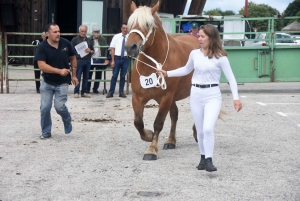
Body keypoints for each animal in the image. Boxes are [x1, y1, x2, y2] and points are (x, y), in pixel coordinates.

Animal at [125, 0, 199, 160]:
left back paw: (197, 133)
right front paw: (148, 135)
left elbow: (158, 122)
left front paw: (152, 149)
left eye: (147, 24)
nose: (130, 47)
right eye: (130, 24)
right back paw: (171, 140)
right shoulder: (138, 97)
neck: (152, 66)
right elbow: (138, 122)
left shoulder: (166, 97)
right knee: (174, 114)